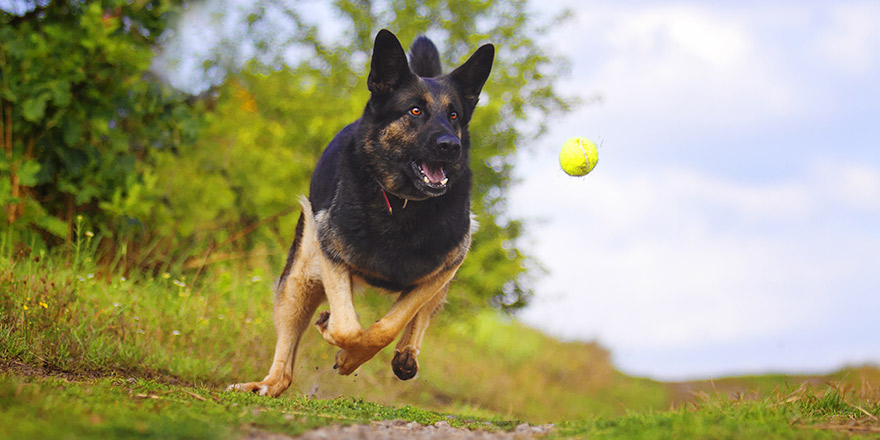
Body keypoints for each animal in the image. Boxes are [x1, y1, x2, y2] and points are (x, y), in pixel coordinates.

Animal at [229, 29, 496, 398]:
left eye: (453, 115)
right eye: (415, 110)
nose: (450, 147)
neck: (401, 203)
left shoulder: (444, 267)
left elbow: (389, 325)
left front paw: (352, 357)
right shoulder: (332, 256)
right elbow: (347, 328)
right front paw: (338, 340)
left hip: (441, 277)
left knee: (422, 315)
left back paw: (406, 354)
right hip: (299, 279)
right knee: (284, 370)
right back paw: (265, 384)